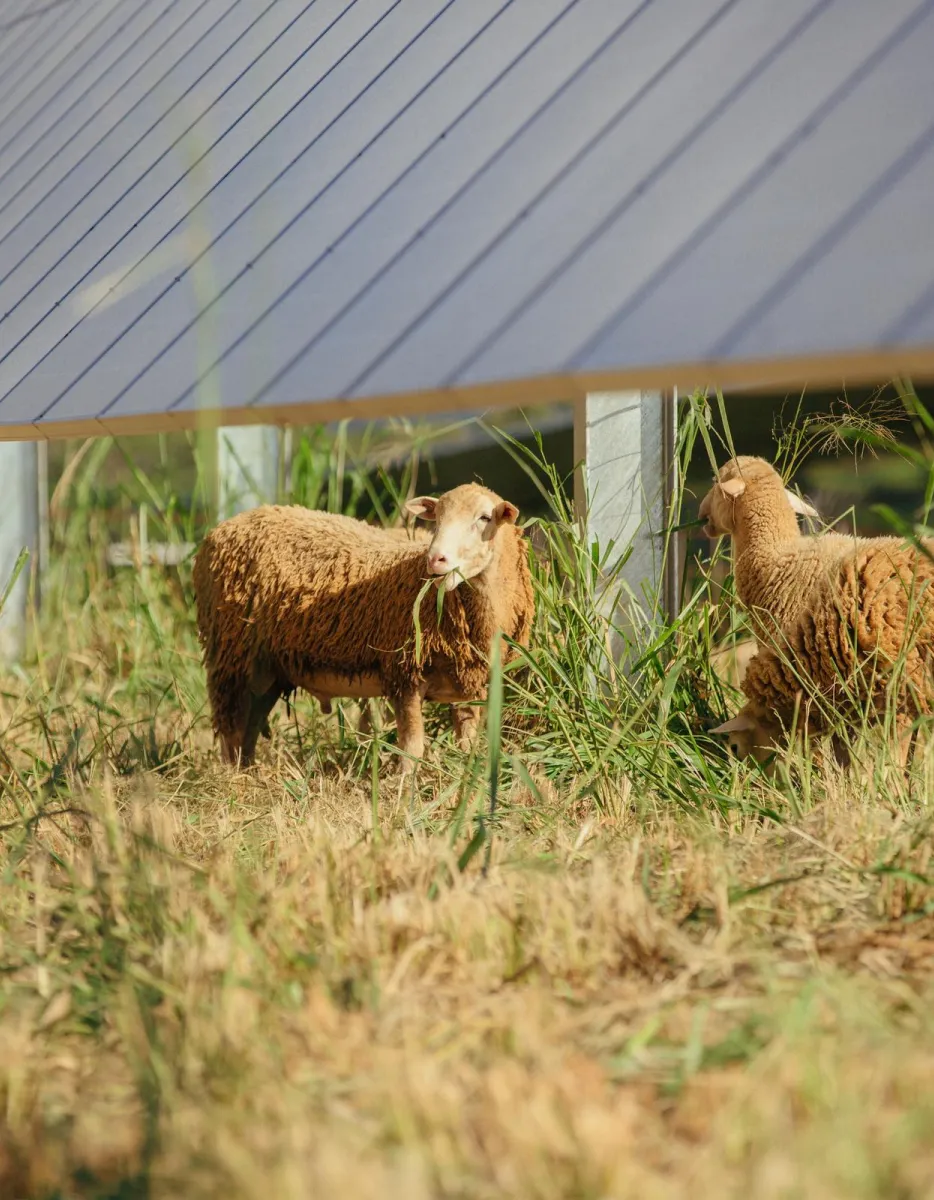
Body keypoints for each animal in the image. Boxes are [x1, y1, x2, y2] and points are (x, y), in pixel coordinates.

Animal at [193, 484, 534, 770]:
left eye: (484, 518)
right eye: (436, 518)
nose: (435, 559)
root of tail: (221, 528)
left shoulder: (468, 683)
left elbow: (466, 743)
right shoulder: (404, 673)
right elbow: (412, 749)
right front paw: (403, 792)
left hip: (269, 669)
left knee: (249, 726)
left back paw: (249, 773)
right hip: (231, 655)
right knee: (231, 729)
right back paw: (232, 780)